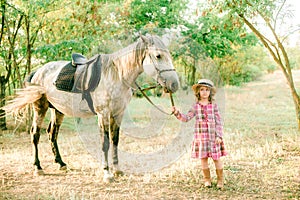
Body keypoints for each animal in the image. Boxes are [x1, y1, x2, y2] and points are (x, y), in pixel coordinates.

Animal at [2, 34, 178, 183]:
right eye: (158, 56)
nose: (174, 84)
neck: (117, 74)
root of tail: (38, 71)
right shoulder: (103, 114)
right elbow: (105, 143)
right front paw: (107, 173)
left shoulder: (118, 113)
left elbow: (115, 141)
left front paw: (117, 170)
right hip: (40, 107)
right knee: (35, 134)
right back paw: (38, 167)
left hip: (57, 110)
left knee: (52, 133)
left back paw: (61, 163)